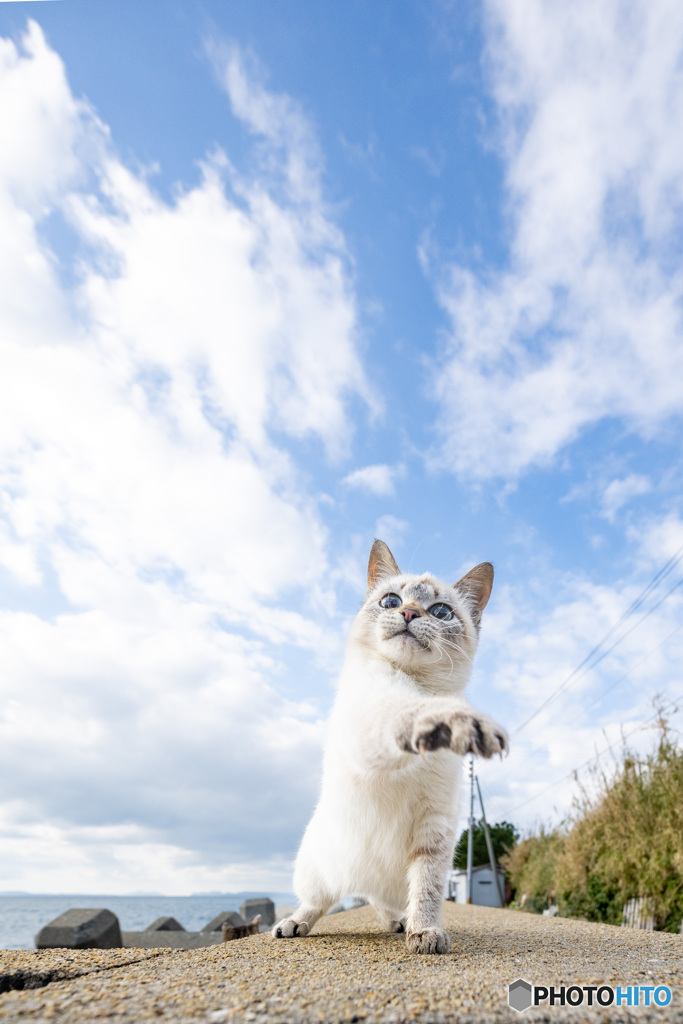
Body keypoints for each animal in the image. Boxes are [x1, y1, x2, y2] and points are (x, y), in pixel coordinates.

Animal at [272, 540, 507, 954]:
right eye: (391, 601)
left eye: (441, 611)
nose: (409, 612)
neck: (413, 682)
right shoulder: (370, 725)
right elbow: (408, 711)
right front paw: (459, 722)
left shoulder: (434, 828)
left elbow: (427, 890)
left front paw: (423, 932)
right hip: (317, 871)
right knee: (318, 901)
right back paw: (294, 923)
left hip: (390, 882)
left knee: (381, 901)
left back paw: (399, 922)